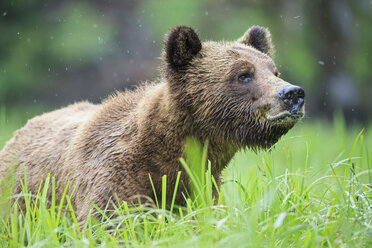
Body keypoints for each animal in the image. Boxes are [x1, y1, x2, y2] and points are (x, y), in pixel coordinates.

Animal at [0, 26, 306, 222]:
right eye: (243, 74)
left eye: (274, 71)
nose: (293, 93)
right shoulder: (115, 180)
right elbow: (108, 221)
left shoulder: (201, 187)